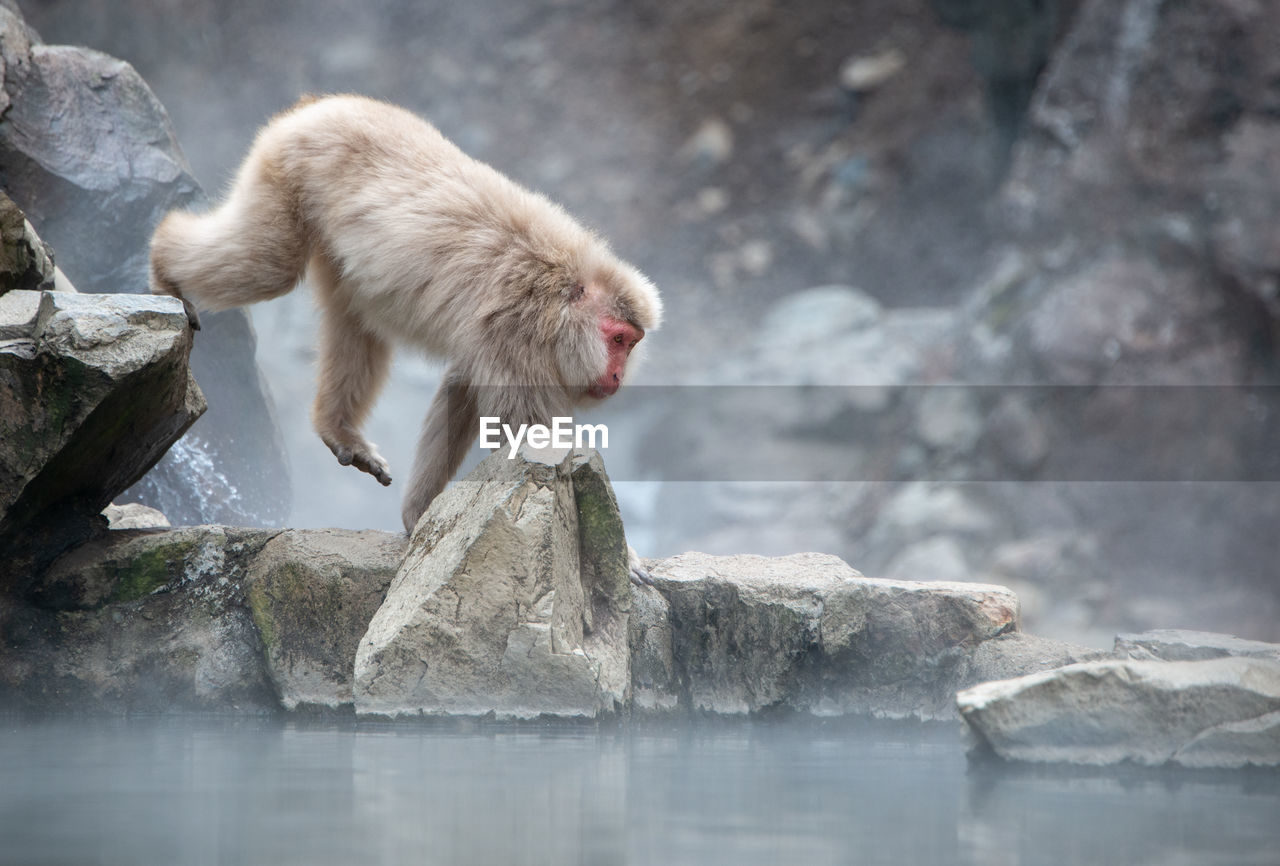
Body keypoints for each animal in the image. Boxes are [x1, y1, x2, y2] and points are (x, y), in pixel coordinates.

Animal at [152, 91, 660, 529]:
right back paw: (163, 267)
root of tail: (323, 105)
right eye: (617, 339)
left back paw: (338, 429)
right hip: (289, 169)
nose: (618, 375)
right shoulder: (515, 331)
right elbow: (527, 439)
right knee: (271, 264)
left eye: (631, 344)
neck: (556, 292)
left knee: (354, 319)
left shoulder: (496, 339)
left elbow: (462, 389)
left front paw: (420, 514)